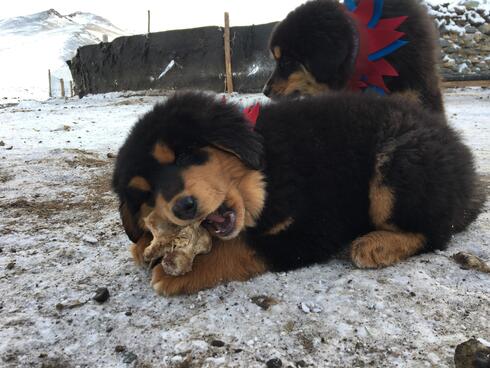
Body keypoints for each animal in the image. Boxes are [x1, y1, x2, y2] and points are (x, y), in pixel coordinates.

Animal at [113, 92, 484, 296]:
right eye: (145, 194)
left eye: (185, 155)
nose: (184, 207)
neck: (263, 173)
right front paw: (144, 245)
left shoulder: (315, 225)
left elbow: (242, 247)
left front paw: (176, 273)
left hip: (397, 162)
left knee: (435, 231)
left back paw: (376, 245)